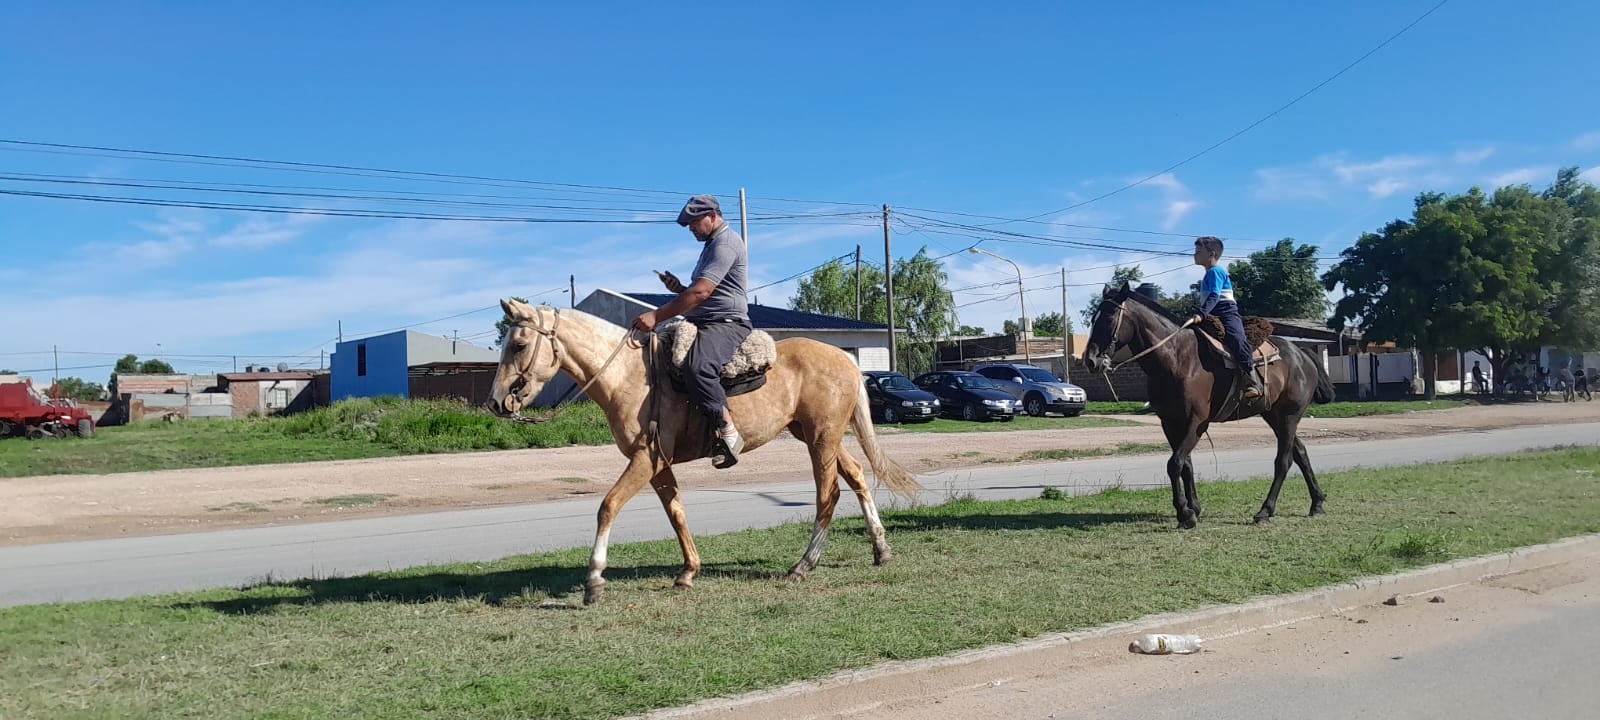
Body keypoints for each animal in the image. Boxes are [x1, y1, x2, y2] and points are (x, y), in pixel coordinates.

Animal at [486, 300, 928, 604]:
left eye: (519, 344)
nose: (495, 402)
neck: (630, 378)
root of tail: (848, 361)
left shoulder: (644, 459)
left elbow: (608, 506)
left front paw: (594, 581)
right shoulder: (658, 463)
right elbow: (676, 512)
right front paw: (688, 571)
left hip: (822, 437)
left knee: (828, 493)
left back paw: (803, 566)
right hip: (815, 434)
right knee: (856, 476)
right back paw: (880, 549)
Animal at [1081, 283, 1331, 528]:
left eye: (1109, 317)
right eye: (1094, 318)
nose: (1090, 360)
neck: (1178, 359)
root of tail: (1302, 354)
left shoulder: (1197, 422)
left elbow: (1175, 463)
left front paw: (1185, 513)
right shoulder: (1170, 422)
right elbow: (1186, 464)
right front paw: (1193, 508)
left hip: (1290, 414)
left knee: (1283, 461)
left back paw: (1264, 511)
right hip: (1274, 415)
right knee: (1300, 452)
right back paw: (1317, 503)